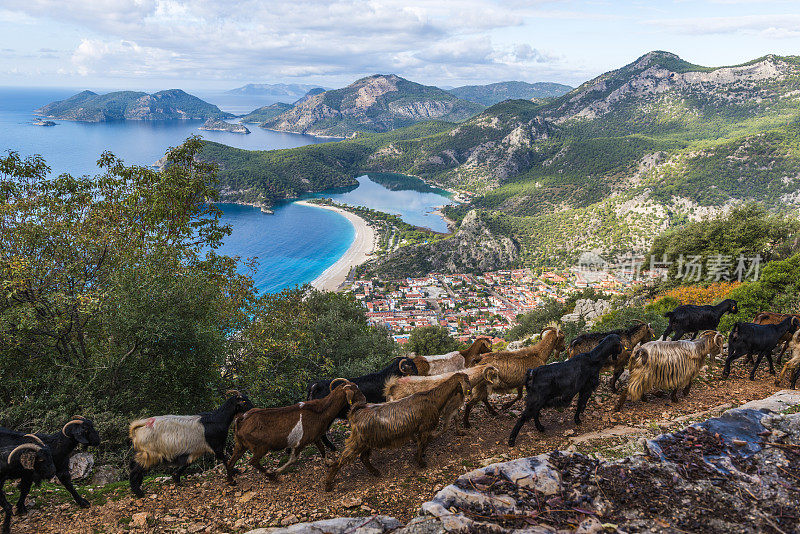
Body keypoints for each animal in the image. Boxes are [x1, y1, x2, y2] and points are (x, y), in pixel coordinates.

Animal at [227, 382, 360, 486]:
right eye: (356, 391)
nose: (363, 400)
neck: (320, 411)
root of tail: (241, 419)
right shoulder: (301, 442)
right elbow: (293, 459)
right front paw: (276, 471)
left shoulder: (315, 437)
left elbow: (322, 450)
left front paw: (328, 463)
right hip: (260, 447)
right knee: (253, 462)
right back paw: (271, 476)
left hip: (240, 445)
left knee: (231, 462)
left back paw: (231, 481)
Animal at [324, 374, 472, 492]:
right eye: (467, 381)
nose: (469, 394)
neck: (433, 398)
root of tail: (356, 412)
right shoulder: (424, 428)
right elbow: (423, 444)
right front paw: (421, 462)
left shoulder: (421, 430)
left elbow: (422, 444)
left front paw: (418, 457)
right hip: (358, 441)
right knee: (341, 461)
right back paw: (328, 485)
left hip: (367, 441)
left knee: (364, 458)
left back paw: (375, 472)